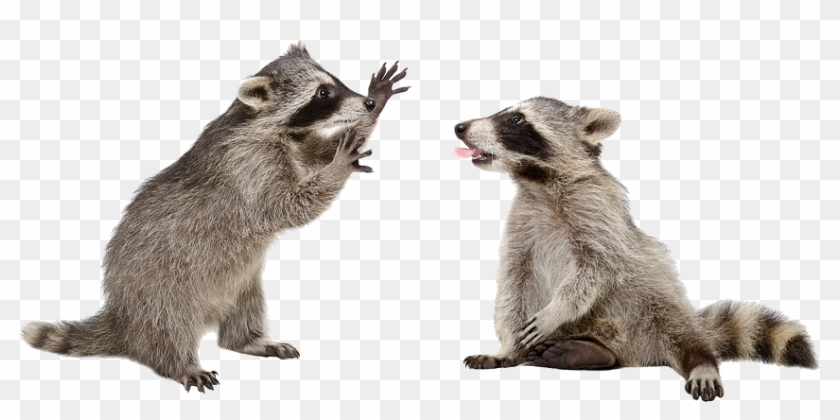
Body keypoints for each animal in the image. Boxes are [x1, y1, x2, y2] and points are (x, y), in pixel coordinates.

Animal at [22, 41, 409, 392]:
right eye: (322, 93)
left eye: (335, 81)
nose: (366, 103)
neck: (263, 123)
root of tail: (123, 315)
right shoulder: (247, 165)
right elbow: (285, 207)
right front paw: (338, 167)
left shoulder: (296, 143)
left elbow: (319, 152)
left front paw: (371, 112)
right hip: (162, 287)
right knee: (170, 328)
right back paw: (180, 363)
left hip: (241, 281)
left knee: (246, 307)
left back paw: (248, 339)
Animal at [455, 97, 816, 401]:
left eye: (515, 119)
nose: (460, 127)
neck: (538, 183)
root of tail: (635, 355)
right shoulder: (521, 226)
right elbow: (512, 285)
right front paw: (507, 346)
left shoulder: (600, 215)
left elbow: (597, 269)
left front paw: (556, 309)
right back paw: (583, 351)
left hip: (655, 307)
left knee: (681, 331)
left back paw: (700, 361)